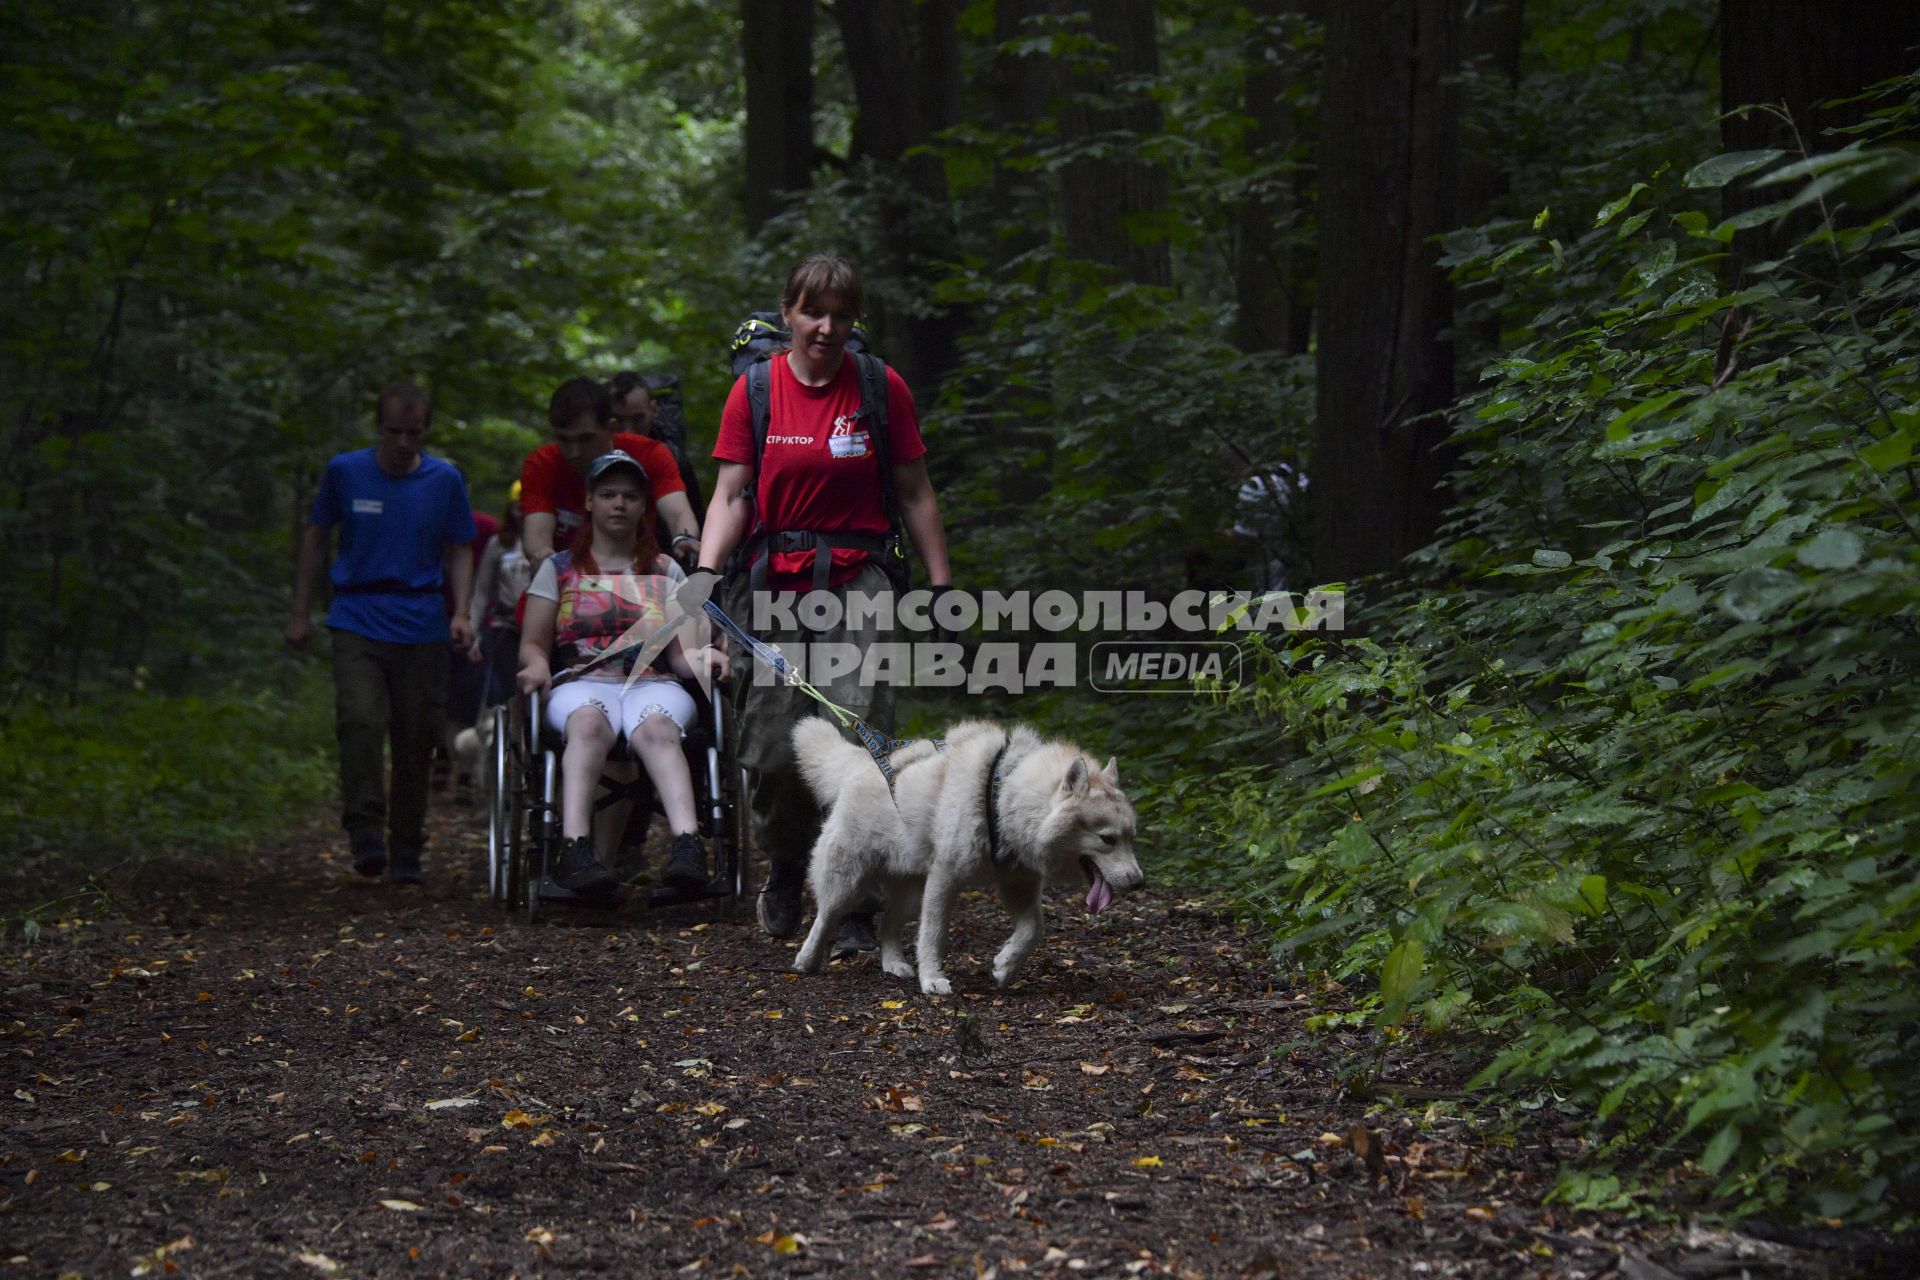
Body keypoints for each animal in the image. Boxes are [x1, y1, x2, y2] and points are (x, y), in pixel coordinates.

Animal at [791, 717, 1136, 997]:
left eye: (1131, 837)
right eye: (1107, 839)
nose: (1138, 882)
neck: (1003, 796)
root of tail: (860, 763)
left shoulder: (1018, 884)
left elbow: (1033, 929)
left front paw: (1005, 966)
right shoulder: (946, 879)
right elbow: (933, 934)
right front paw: (932, 980)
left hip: (912, 895)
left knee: (888, 923)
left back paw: (894, 965)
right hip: (847, 885)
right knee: (824, 918)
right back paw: (806, 961)